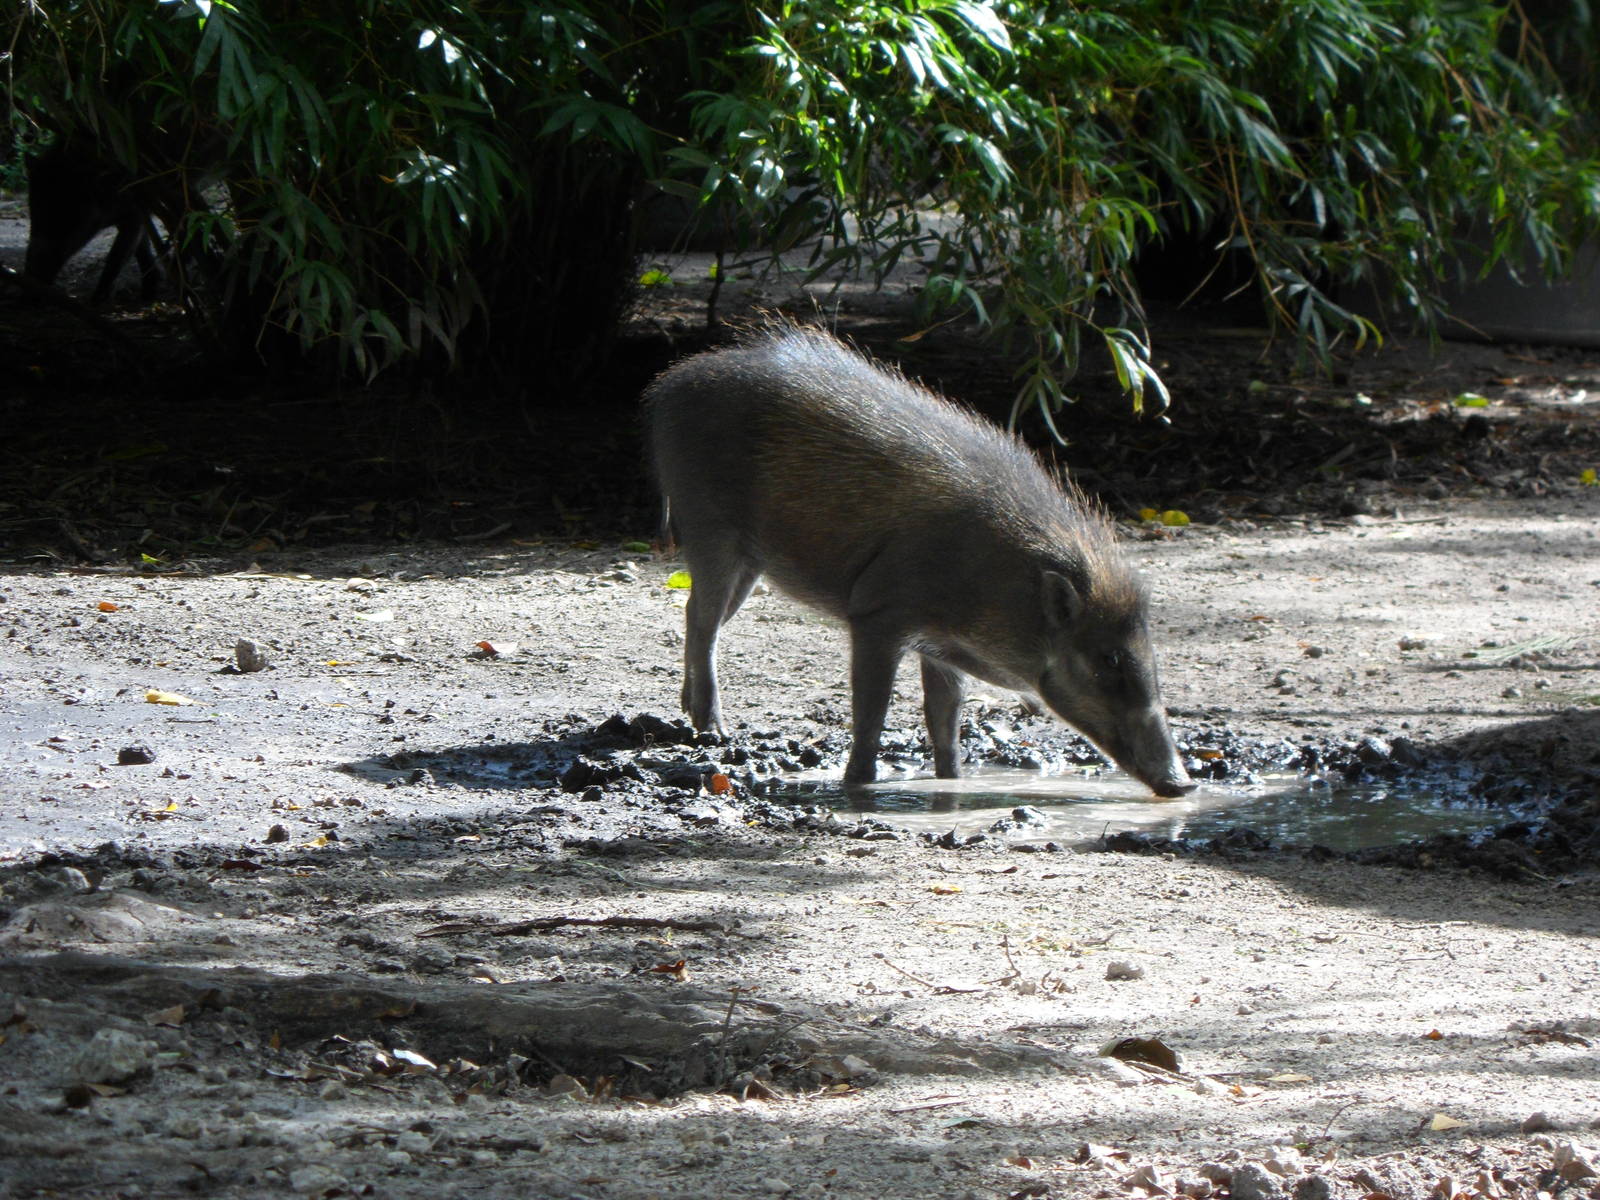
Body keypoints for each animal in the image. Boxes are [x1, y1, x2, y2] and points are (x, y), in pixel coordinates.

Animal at [645, 325, 1194, 797]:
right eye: (1109, 659)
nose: (1184, 783)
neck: (1003, 581)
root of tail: (669, 384)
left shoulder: (940, 646)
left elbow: (944, 718)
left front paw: (953, 782)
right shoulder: (877, 615)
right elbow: (873, 709)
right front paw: (858, 784)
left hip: (752, 560)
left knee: (697, 612)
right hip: (710, 529)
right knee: (703, 619)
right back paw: (714, 730)